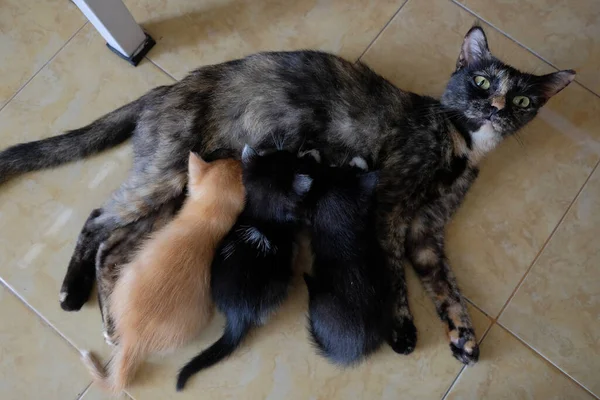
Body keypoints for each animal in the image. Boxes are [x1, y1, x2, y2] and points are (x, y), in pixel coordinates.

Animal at [176, 145, 312, 390]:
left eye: (276, 154)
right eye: (288, 159)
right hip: (277, 286)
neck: (262, 213)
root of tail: (236, 313)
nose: (291, 150)